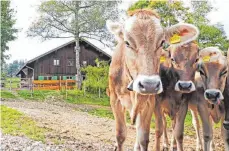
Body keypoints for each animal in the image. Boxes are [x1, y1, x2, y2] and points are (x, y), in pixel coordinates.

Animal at [106, 8, 200, 150]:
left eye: (162, 42)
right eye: (127, 42)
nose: (149, 85)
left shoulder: (150, 102)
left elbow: (144, 138)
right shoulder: (115, 100)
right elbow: (120, 135)